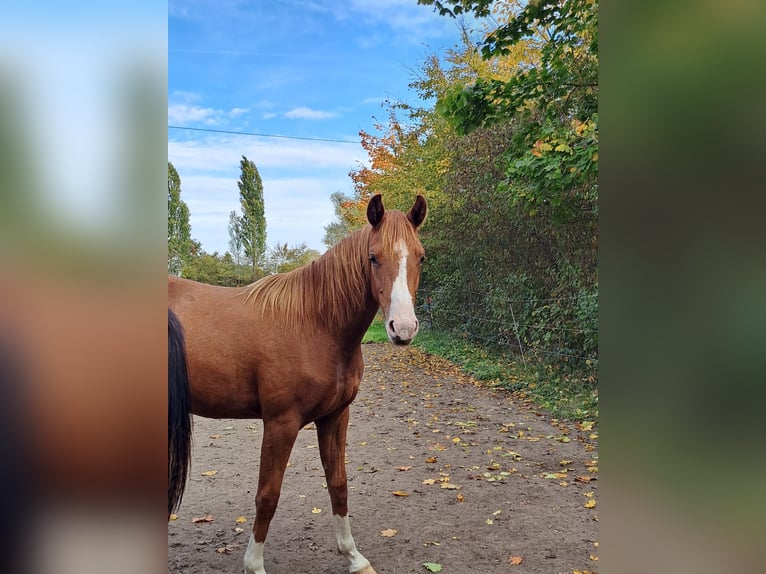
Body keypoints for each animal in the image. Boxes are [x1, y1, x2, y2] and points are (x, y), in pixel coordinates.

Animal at [168, 193, 427, 574]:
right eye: (373, 257)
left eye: (420, 256)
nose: (403, 328)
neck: (315, 323)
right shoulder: (281, 424)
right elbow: (268, 495)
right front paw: (254, 565)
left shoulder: (336, 417)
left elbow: (339, 484)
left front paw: (354, 557)